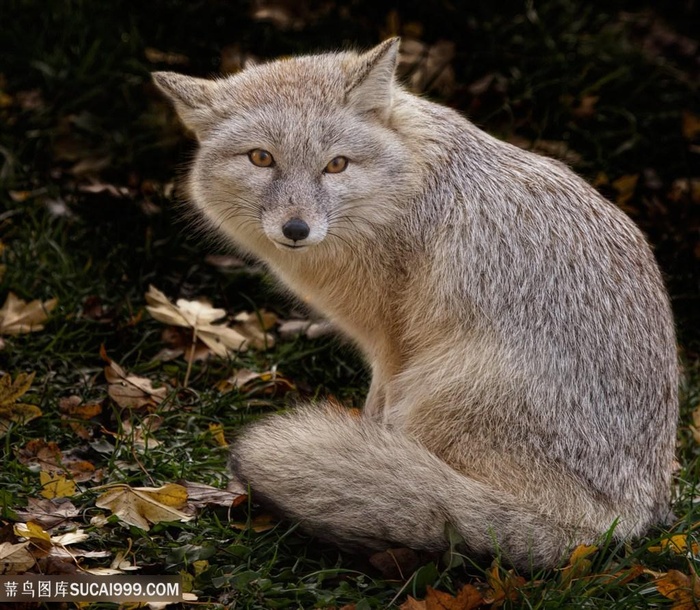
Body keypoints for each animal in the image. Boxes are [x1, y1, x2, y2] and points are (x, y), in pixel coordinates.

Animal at [153, 38, 680, 568]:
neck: (407, 185)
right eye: (261, 158)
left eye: (336, 165)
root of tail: (619, 522)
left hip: (434, 390)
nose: (296, 229)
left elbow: (375, 414)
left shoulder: (392, 345)